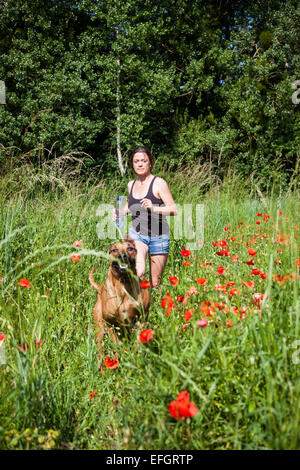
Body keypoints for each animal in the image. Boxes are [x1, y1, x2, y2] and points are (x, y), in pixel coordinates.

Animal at [89, 237, 150, 366]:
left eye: (130, 248)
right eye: (114, 250)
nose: (122, 256)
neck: (123, 283)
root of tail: (100, 288)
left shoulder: (142, 317)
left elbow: (138, 340)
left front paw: (135, 355)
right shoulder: (110, 324)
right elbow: (117, 343)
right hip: (100, 329)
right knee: (100, 349)